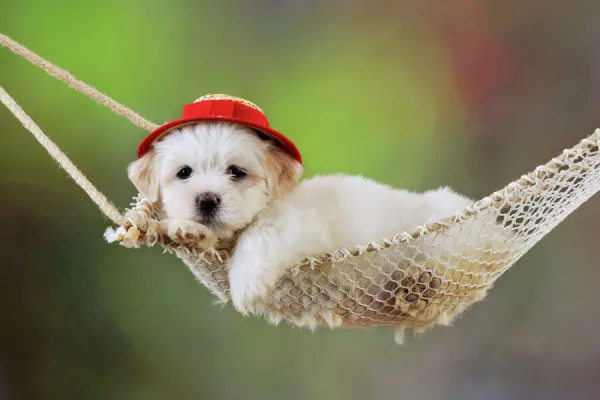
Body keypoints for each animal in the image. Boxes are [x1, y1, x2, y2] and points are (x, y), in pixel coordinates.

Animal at [127, 120, 474, 314]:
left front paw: (246, 285)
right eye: (184, 173)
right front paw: (186, 230)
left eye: (236, 172)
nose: (208, 199)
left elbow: (258, 237)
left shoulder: (296, 224)